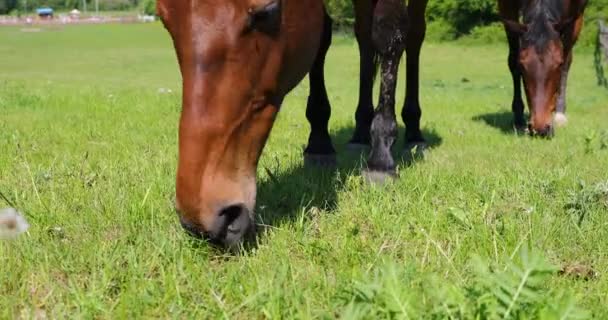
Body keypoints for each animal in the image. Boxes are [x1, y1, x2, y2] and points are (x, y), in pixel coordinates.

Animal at [158, 0, 428, 248]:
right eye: (164, 18)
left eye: (266, 11)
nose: (205, 220)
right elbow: (324, 37)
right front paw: (319, 144)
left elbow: (389, 32)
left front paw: (381, 158)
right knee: (364, 38)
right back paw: (361, 133)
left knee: (414, 36)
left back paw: (411, 131)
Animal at [498, 0, 588, 136]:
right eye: (522, 65)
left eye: (558, 64)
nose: (540, 128)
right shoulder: (507, 9)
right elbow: (513, 61)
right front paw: (519, 117)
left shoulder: (576, 16)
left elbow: (565, 62)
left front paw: (559, 114)